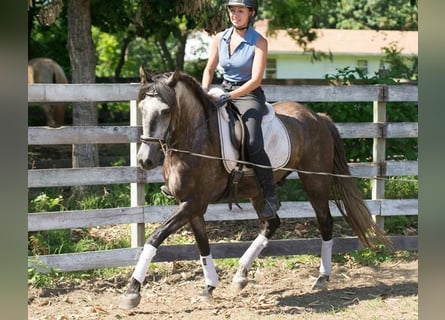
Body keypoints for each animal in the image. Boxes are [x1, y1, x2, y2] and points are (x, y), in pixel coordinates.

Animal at [119, 68, 392, 310]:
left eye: (166, 110)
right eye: (142, 109)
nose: (145, 160)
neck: (195, 138)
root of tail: (317, 117)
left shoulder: (194, 203)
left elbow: (155, 237)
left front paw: (133, 292)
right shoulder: (190, 205)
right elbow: (202, 244)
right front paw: (209, 288)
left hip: (314, 182)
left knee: (325, 222)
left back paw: (322, 277)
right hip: (258, 190)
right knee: (272, 223)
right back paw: (241, 274)